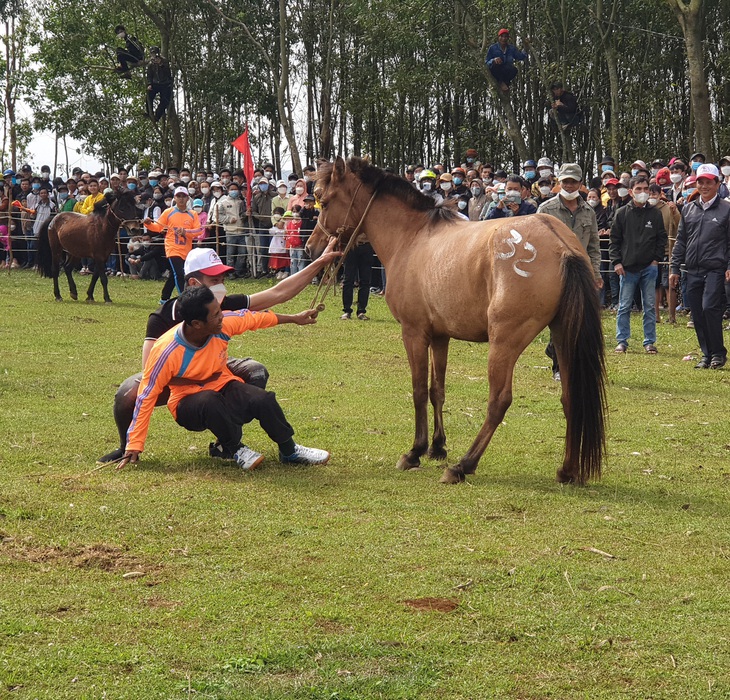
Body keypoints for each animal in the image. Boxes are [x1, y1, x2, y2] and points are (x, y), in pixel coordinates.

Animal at [306, 157, 604, 486]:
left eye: (324, 200)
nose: (311, 247)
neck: (412, 237)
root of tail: (560, 244)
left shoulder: (414, 333)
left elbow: (419, 389)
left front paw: (415, 451)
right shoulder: (439, 336)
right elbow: (437, 390)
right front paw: (437, 446)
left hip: (504, 343)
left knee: (499, 401)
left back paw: (464, 465)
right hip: (563, 338)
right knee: (570, 399)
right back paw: (568, 470)